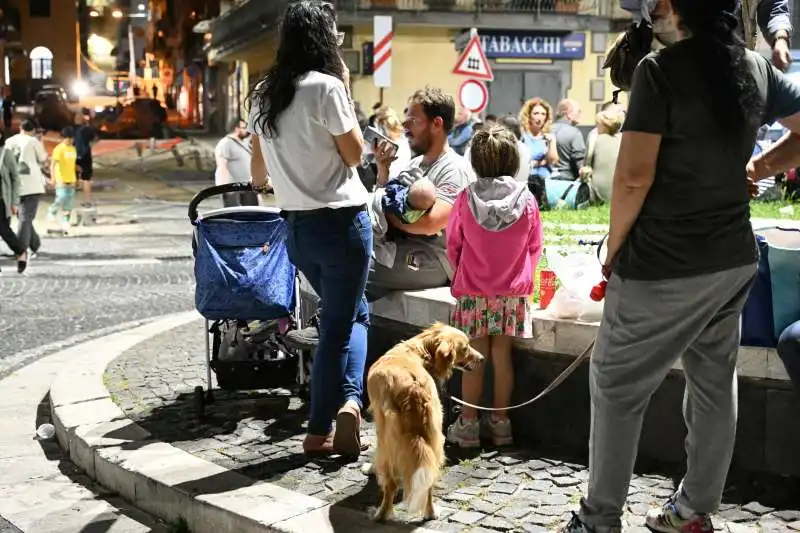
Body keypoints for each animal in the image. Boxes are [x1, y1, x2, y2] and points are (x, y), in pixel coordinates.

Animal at [366, 322, 484, 520]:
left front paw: (371, 468)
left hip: (389, 435)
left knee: (391, 485)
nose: (482, 359)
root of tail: (413, 390)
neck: (419, 351)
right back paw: (430, 512)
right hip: (434, 437)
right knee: (429, 479)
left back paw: (381, 515)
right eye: (466, 347)